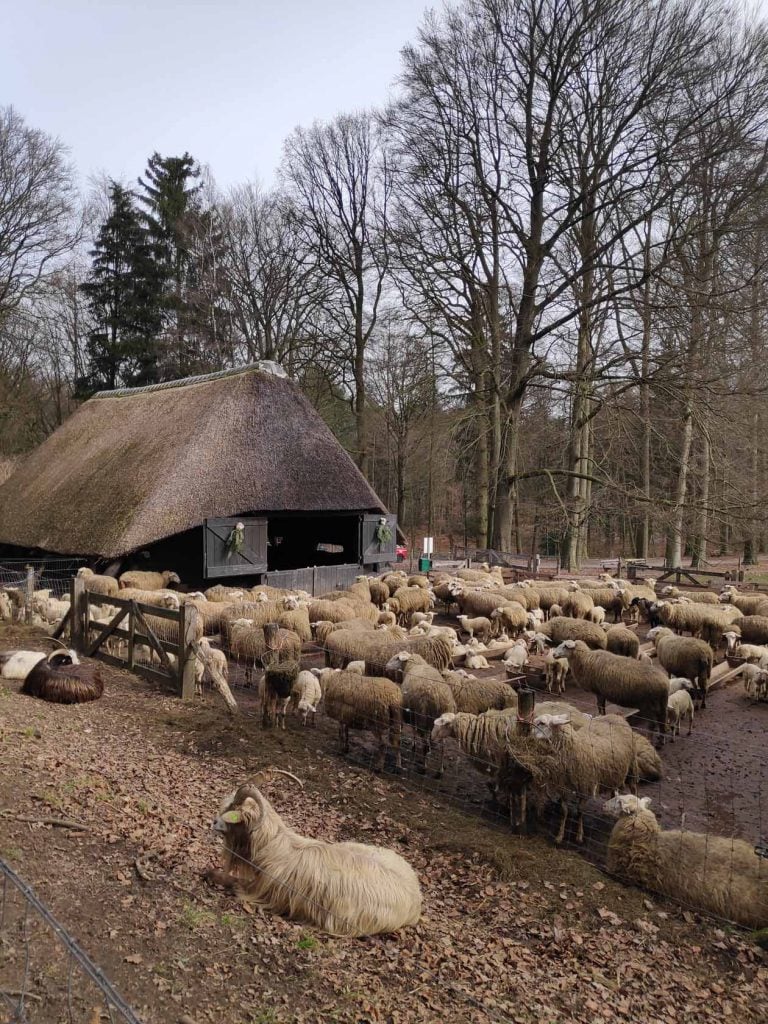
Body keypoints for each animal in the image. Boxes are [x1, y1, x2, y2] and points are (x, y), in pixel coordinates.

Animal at [208, 770, 421, 937]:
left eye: (232, 809)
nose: (213, 822)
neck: (275, 846)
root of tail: (417, 897)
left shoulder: (260, 890)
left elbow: (230, 881)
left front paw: (210, 873)